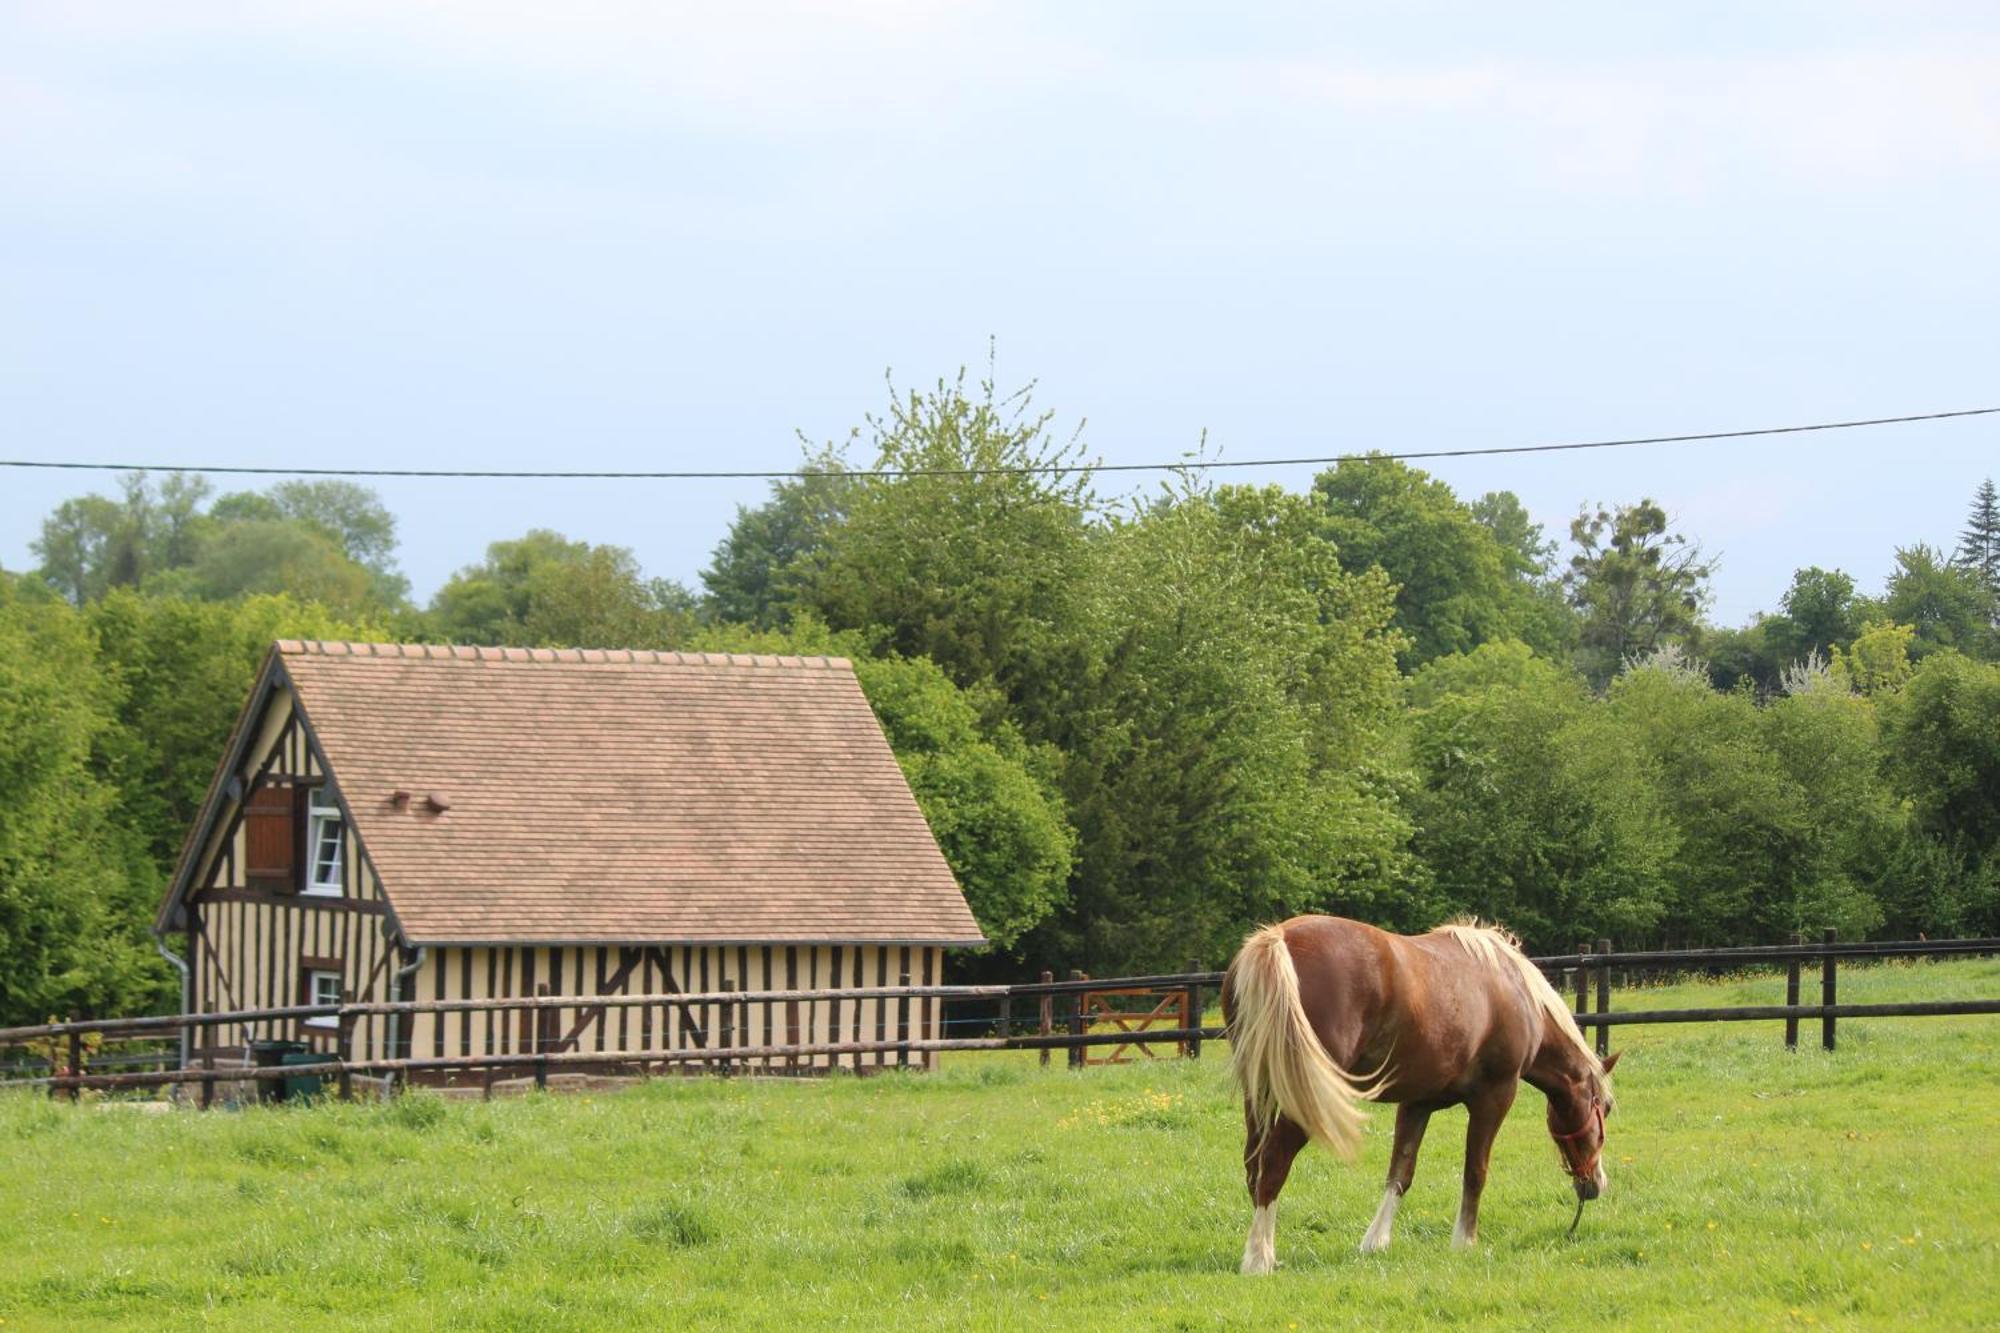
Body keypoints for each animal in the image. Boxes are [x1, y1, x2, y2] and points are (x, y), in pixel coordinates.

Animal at [1216, 912, 1624, 1264]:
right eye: (1602, 1109)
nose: (1596, 1185)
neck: (1513, 990)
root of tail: (1276, 941)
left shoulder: (1417, 1103)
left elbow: (1401, 1172)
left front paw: (1375, 1242)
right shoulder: (1495, 1096)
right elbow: (1475, 1171)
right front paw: (1464, 1242)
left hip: (1261, 1094)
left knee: (1255, 1164)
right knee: (1274, 1161)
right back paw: (1259, 1259)